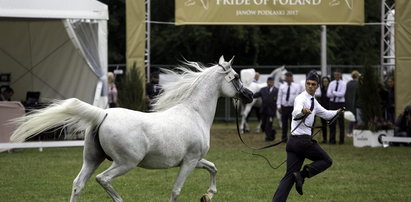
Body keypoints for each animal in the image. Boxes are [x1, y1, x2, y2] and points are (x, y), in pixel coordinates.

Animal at [10, 56, 254, 202]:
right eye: (236, 77)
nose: (250, 95)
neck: (194, 113)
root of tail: (103, 114)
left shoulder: (194, 160)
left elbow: (213, 168)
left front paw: (208, 195)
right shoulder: (189, 161)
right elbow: (176, 190)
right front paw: (206, 194)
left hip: (92, 159)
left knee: (78, 184)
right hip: (125, 162)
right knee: (103, 179)